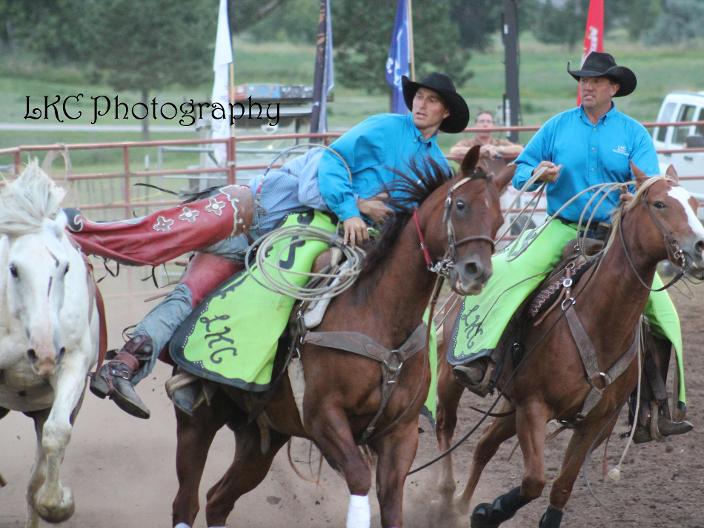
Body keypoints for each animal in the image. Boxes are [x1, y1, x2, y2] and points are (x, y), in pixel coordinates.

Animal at [0, 163, 102, 524]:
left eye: (65, 267)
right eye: (14, 268)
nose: (44, 354)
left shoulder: (72, 365)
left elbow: (57, 434)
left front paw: (57, 504)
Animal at [168, 144, 504, 528]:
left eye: (499, 220)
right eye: (461, 205)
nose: (477, 272)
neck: (381, 318)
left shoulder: (400, 433)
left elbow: (391, 500)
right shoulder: (323, 416)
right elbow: (359, 478)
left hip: (263, 437)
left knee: (217, 500)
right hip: (197, 423)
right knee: (186, 502)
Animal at [434, 166, 704, 528]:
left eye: (695, 203)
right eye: (659, 204)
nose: (700, 247)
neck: (599, 323)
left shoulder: (595, 422)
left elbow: (561, 487)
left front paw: (486, 512)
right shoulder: (534, 406)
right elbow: (534, 480)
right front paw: (489, 512)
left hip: (511, 405)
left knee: (484, 445)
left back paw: (463, 506)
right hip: (453, 378)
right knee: (446, 426)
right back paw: (447, 498)